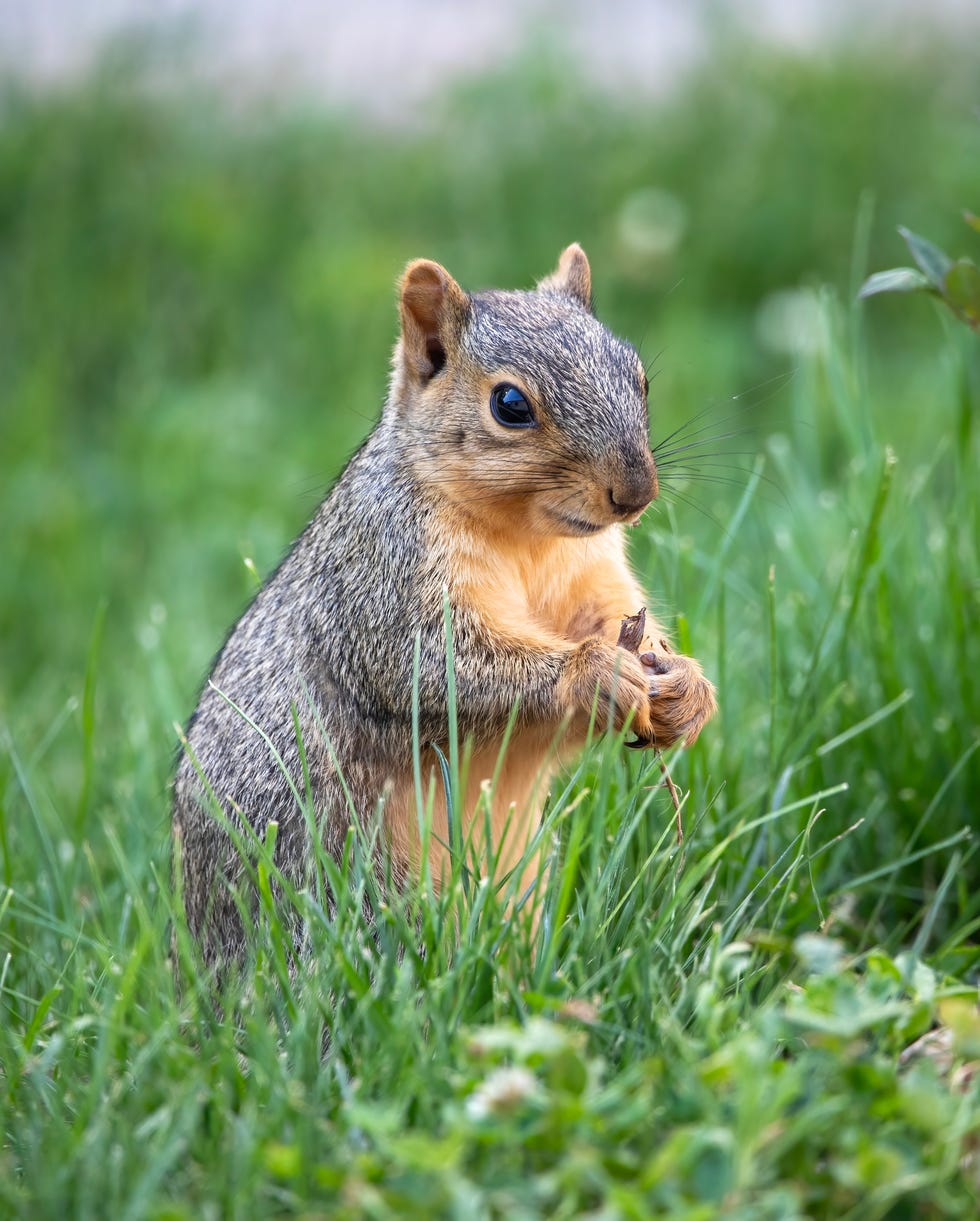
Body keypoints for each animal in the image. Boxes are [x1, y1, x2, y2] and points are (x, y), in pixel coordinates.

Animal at [172, 244, 717, 965]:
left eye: (639, 377)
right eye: (510, 404)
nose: (635, 492)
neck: (527, 538)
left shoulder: (591, 577)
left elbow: (609, 622)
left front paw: (685, 684)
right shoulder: (381, 580)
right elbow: (436, 667)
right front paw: (592, 671)